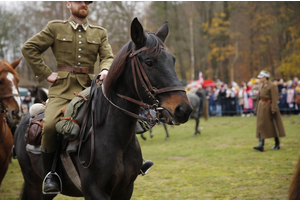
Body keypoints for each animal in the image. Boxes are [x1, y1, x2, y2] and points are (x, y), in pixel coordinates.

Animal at [14, 18, 192, 199]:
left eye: (172, 60)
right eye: (149, 62)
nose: (183, 109)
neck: (116, 137)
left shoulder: (125, 189)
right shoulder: (93, 190)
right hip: (34, 184)